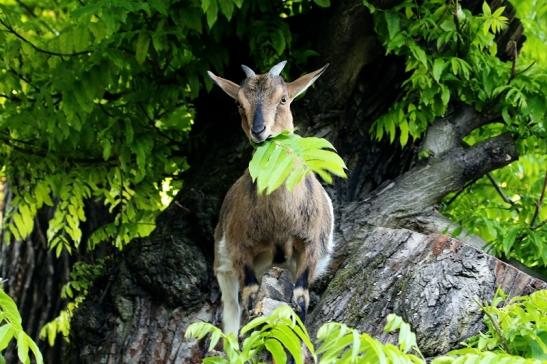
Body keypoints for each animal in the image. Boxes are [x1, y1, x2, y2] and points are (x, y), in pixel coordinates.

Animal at [208, 61, 334, 334]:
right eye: (239, 104)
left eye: (283, 99)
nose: (259, 131)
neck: (281, 219)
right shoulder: (240, 249)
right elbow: (250, 296)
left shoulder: (310, 247)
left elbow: (300, 297)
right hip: (224, 266)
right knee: (231, 311)